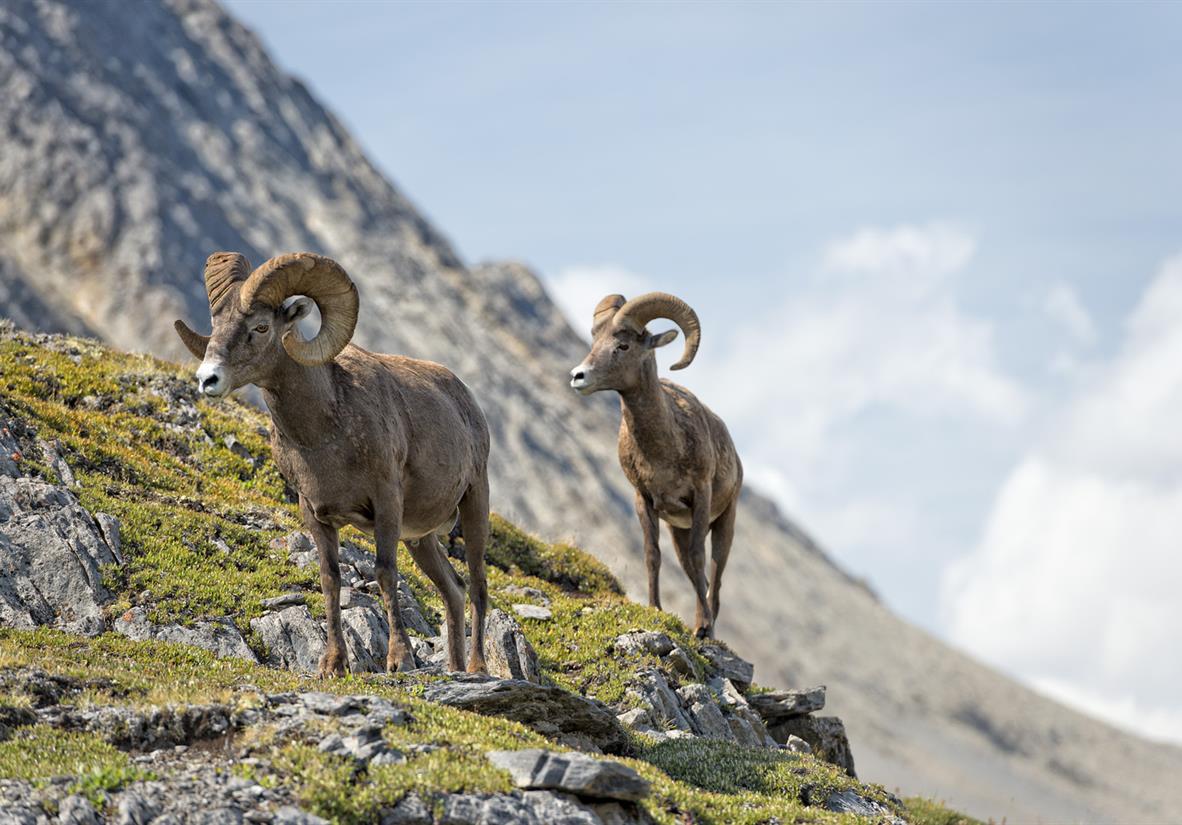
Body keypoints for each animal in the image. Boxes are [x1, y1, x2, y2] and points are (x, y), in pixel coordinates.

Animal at [174, 251, 490, 676]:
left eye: (261, 327)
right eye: (216, 325)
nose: (208, 379)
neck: (325, 433)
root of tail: (465, 398)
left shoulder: (387, 502)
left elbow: (384, 572)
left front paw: (399, 660)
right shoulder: (315, 513)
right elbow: (330, 580)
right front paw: (333, 664)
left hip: (475, 504)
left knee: (477, 587)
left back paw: (477, 669)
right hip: (421, 539)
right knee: (453, 591)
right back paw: (456, 669)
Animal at [569, 293, 742, 639]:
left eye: (622, 345)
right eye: (595, 339)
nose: (578, 376)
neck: (664, 449)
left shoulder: (700, 496)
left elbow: (699, 558)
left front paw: (703, 628)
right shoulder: (645, 500)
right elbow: (652, 556)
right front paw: (655, 609)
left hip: (724, 521)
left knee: (714, 575)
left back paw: (707, 625)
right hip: (678, 530)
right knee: (695, 574)